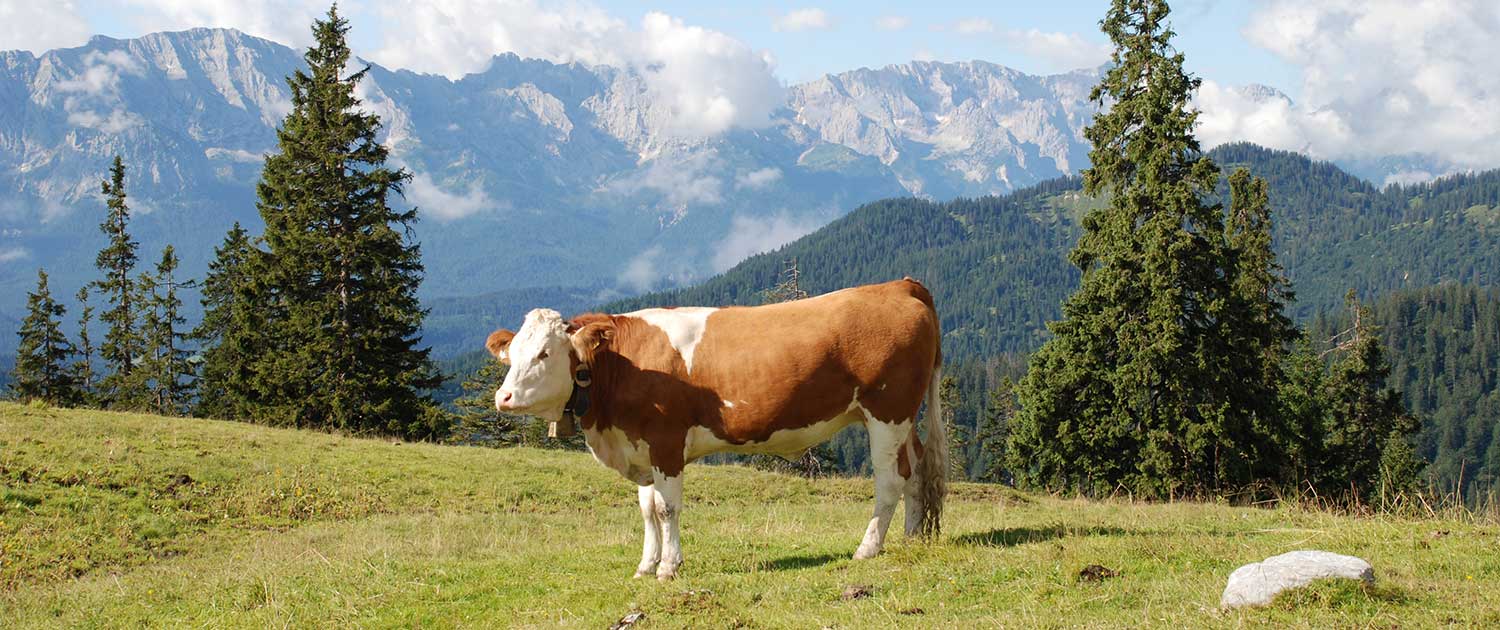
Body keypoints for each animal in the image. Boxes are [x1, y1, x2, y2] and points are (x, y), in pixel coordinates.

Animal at [486, 277, 942, 579]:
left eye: (545, 353)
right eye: (512, 353)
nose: (503, 397)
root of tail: (899, 285)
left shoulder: (666, 440)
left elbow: (667, 508)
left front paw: (669, 567)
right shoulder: (640, 446)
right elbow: (647, 508)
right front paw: (646, 565)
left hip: (886, 411)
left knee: (890, 480)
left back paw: (867, 548)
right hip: (901, 417)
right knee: (917, 470)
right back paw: (912, 538)